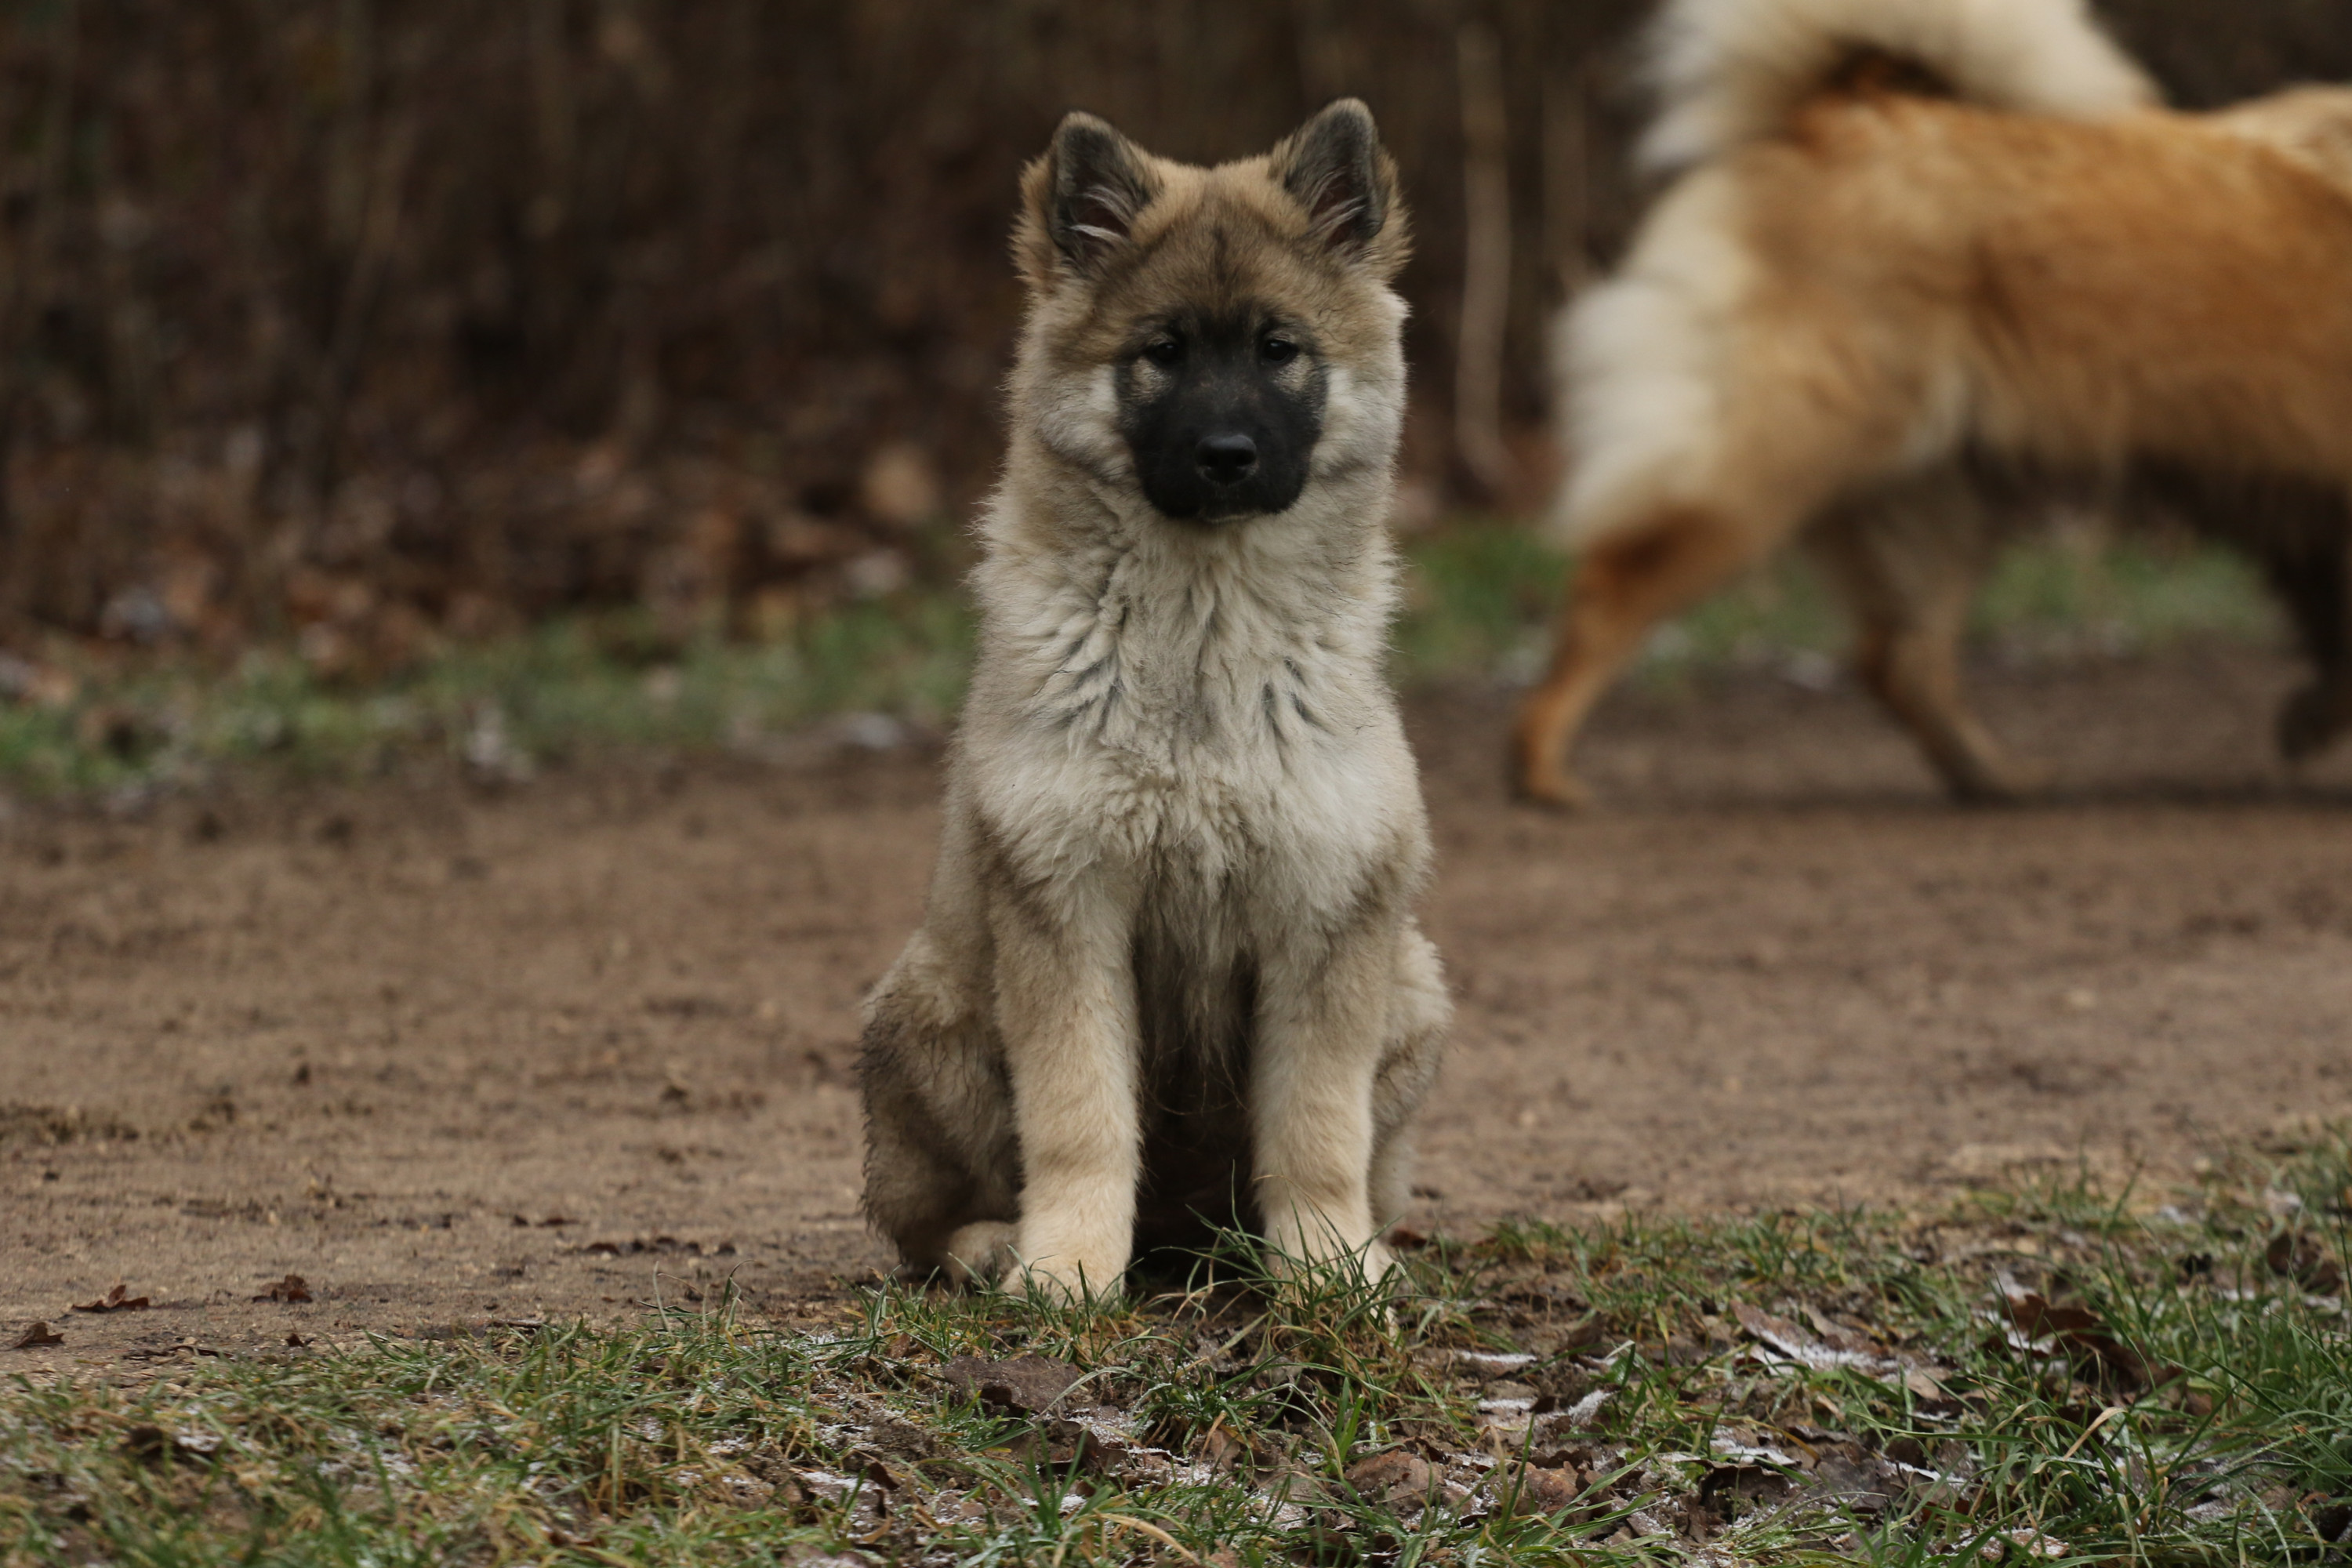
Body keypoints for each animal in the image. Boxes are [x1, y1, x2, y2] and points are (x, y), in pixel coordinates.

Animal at [861, 100, 1449, 1298]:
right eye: (1162, 353)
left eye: (1279, 350)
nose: (1228, 455)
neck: (1205, 642)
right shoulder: (1067, 903)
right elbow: (1080, 1116)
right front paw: (1069, 1267)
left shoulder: (1327, 914)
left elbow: (1316, 1128)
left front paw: (1329, 1267)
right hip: (932, 1013)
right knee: (919, 1221)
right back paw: (992, 1244)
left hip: (1411, 989)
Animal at [1515, 0, 2352, 808]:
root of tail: (1835, 108)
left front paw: (2310, 722)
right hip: (1764, 475)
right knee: (1609, 595)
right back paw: (1540, 772)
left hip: (1933, 497)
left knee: (1901, 662)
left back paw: (1995, 781)